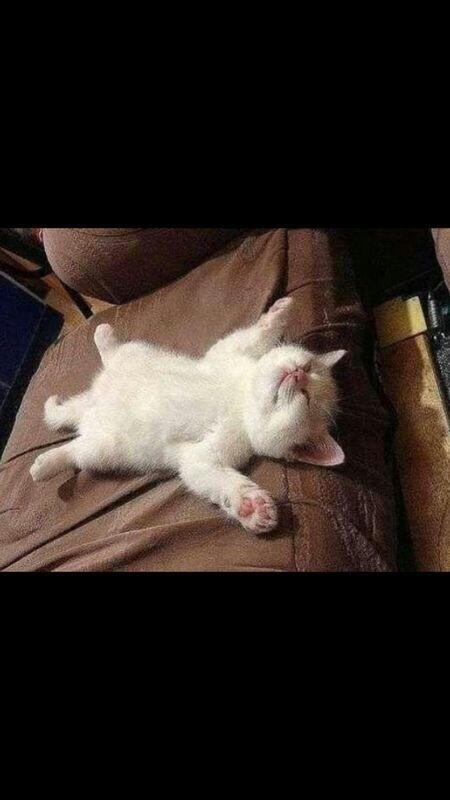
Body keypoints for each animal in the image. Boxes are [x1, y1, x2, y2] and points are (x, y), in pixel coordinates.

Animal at [30, 297, 346, 534]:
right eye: (309, 367)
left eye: (307, 399)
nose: (298, 373)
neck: (241, 397)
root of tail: (94, 403)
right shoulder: (227, 352)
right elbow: (256, 335)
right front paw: (281, 311)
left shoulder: (202, 457)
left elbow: (212, 477)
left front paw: (250, 506)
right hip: (135, 355)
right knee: (115, 353)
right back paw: (103, 334)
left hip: (100, 448)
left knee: (73, 450)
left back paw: (42, 464)